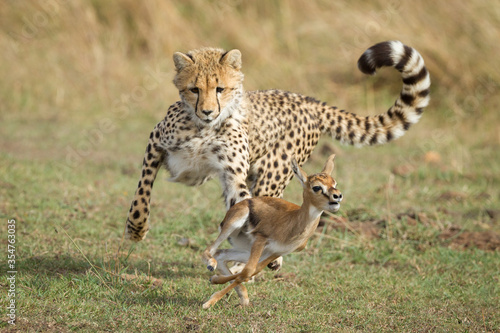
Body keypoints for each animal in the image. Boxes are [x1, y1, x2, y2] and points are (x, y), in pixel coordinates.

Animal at [125, 41, 430, 243]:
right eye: (194, 90)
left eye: (220, 89)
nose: (208, 111)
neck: (204, 128)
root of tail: (308, 100)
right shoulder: (156, 141)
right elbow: (142, 190)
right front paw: (136, 228)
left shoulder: (233, 176)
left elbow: (243, 206)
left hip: (273, 174)